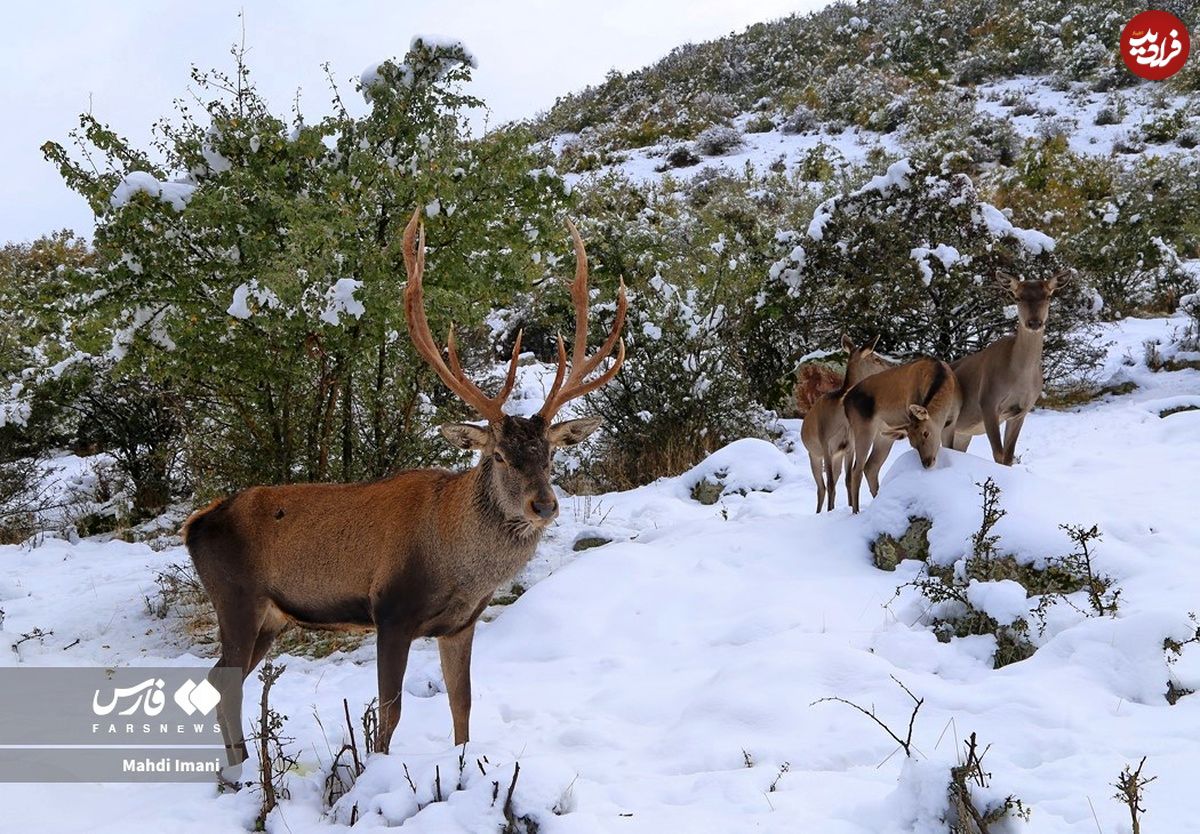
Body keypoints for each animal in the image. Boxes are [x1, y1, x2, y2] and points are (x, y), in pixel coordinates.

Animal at [184, 210, 628, 777]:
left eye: (550, 453)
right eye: (498, 456)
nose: (544, 505)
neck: (454, 565)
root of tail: (194, 524)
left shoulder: (460, 624)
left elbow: (462, 703)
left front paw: (463, 767)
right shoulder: (390, 612)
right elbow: (389, 714)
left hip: (271, 617)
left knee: (224, 678)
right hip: (234, 597)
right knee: (225, 678)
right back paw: (238, 774)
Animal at [801, 336, 888, 511]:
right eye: (876, 358)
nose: (890, 367)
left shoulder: (849, 446)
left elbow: (848, 480)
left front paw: (850, 506)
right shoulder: (825, 443)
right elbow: (830, 484)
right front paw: (830, 511)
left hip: (837, 456)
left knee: (835, 479)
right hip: (813, 454)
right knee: (822, 487)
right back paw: (820, 511)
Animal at [844, 360, 964, 516]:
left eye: (926, 433)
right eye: (912, 444)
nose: (927, 463)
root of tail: (845, 402)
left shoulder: (951, 423)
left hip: (884, 436)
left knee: (871, 466)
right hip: (862, 428)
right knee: (856, 470)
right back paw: (856, 511)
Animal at [950, 273, 1075, 470]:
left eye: (1048, 296)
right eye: (1017, 297)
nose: (1034, 322)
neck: (1018, 378)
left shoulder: (1022, 410)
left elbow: (1008, 457)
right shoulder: (987, 401)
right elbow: (998, 454)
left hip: (962, 433)